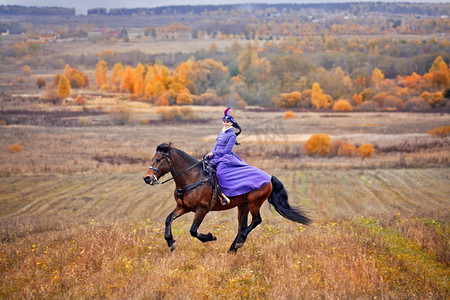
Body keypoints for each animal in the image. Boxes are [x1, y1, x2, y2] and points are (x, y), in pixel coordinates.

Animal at [142, 143, 312, 253]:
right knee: (242, 226)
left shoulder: (202, 209)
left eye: (158, 160)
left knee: (256, 221)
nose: (147, 178)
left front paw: (209, 237)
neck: (192, 178)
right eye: (152, 158)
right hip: (243, 205)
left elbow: (193, 231)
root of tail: (268, 177)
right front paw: (170, 242)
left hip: (254, 203)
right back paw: (233, 248)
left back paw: (239, 243)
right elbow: (168, 219)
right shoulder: (183, 207)